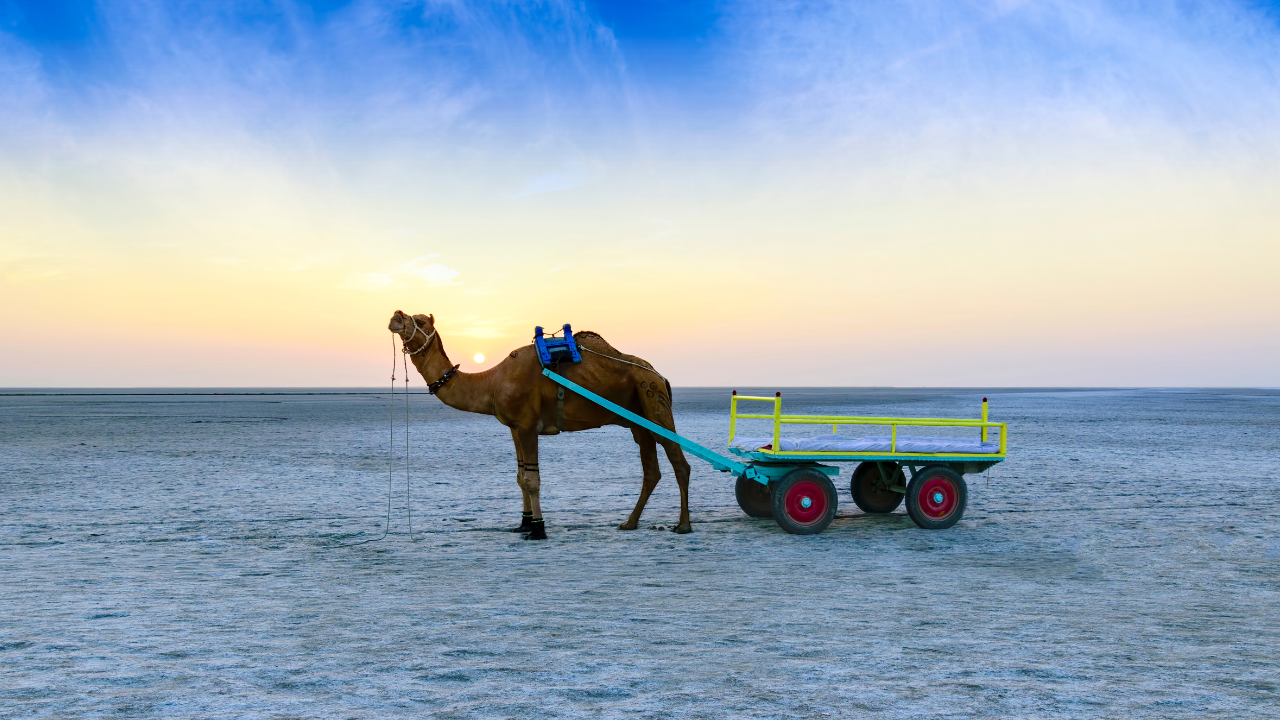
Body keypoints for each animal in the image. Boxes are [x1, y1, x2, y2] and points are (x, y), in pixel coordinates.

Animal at [386, 310, 691, 538]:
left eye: (421, 320)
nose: (396, 315)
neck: (491, 383)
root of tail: (659, 374)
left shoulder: (527, 425)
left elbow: (532, 479)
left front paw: (538, 530)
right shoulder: (514, 428)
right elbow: (520, 477)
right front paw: (523, 523)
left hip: (653, 399)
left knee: (679, 461)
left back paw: (683, 525)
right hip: (638, 418)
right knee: (651, 469)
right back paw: (629, 522)